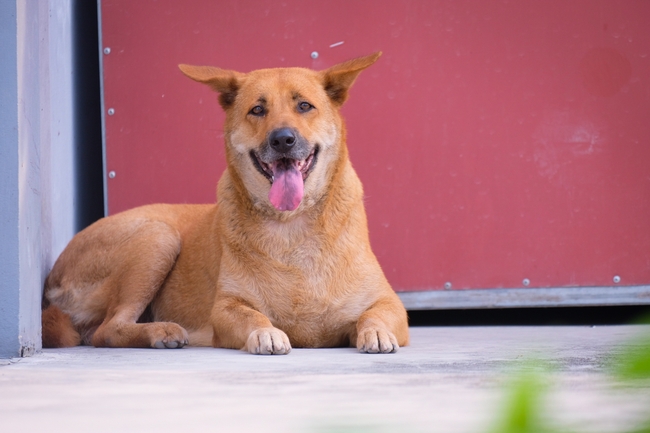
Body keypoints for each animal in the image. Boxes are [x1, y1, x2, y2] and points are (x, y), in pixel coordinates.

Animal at [40, 51, 408, 354]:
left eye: (304, 106)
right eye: (257, 109)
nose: (283, 139)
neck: (291, 225)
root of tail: (53, 277)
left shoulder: (390, 304)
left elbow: (375, 315)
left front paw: (375, 332)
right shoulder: (226, 308)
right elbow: (252, 316)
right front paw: (265, 333)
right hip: (158, 237)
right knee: (107, 330)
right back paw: (161, 331)